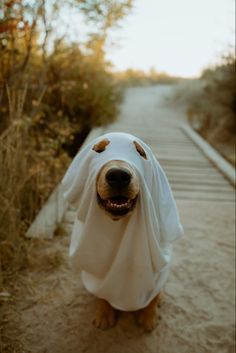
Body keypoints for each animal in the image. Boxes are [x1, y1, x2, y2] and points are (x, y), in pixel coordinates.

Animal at [61, 133, 183, 332]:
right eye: (98, 150)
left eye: (140, 152)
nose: (118, 175)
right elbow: (102, 291)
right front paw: (104, 312)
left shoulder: (160, 270)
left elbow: (154, 295)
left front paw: (149, 315)